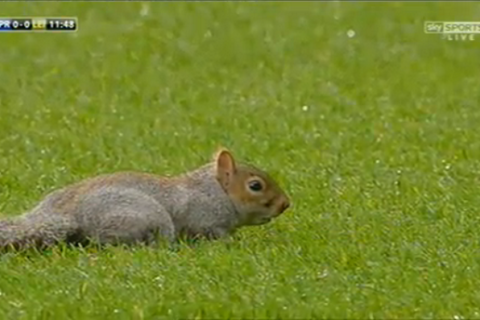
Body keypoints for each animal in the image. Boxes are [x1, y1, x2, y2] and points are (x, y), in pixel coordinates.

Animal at [0, 149, 288, 251]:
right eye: (255, 186)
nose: (286, 204)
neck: (215, 191)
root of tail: (68, 215)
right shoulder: (203, 218)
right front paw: (231, 242)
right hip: (145, 218)